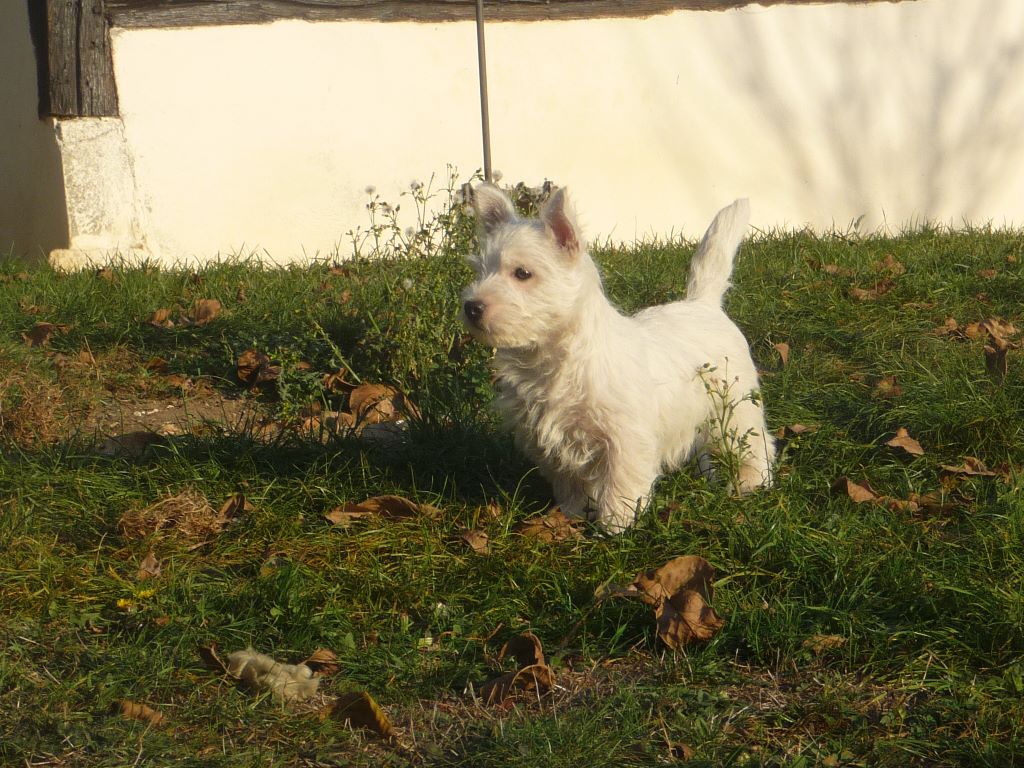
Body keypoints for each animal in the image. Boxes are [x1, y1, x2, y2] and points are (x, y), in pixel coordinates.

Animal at [460, 186, 770, 536]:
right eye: (479, 271)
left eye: (522, 273)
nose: (472, 307)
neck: (556, 358)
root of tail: (704, 304)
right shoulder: (552, 440)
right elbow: (569, 482)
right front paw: (574, 512)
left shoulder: (625, 438)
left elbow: (621, 482)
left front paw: (615, 526)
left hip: (735, 408)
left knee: (756, 444)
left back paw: (751, 482)